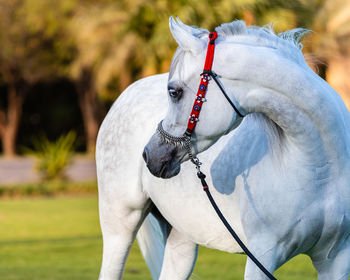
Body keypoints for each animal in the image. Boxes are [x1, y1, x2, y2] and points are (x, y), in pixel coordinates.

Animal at [142, 18, 350, 278]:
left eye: (174, 92)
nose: (150, 155)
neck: (322, 168)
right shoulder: (262, 254)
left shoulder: (336, 259)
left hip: (182, 238)